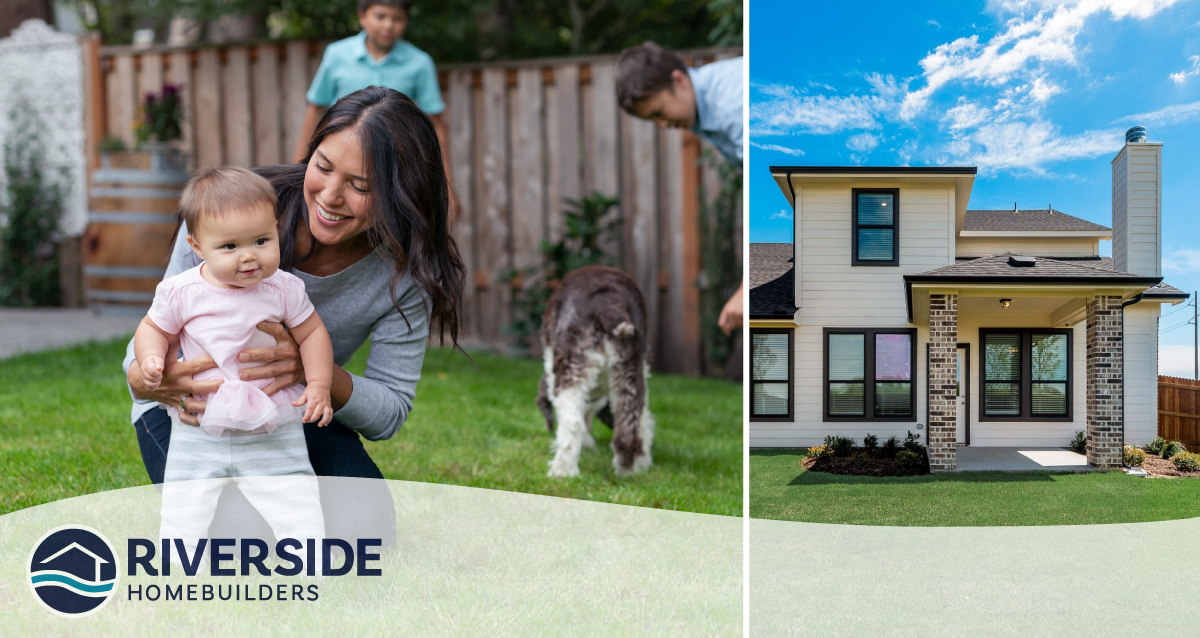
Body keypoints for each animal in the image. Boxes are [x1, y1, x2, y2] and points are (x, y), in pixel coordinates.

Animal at [540, 263, 657, 479]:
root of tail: (609, 305)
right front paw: (644, 462)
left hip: (569, 366)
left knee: (572, 422)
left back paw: (562, 471)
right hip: (630, 369)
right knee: (629, 426)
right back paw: (628, 470)